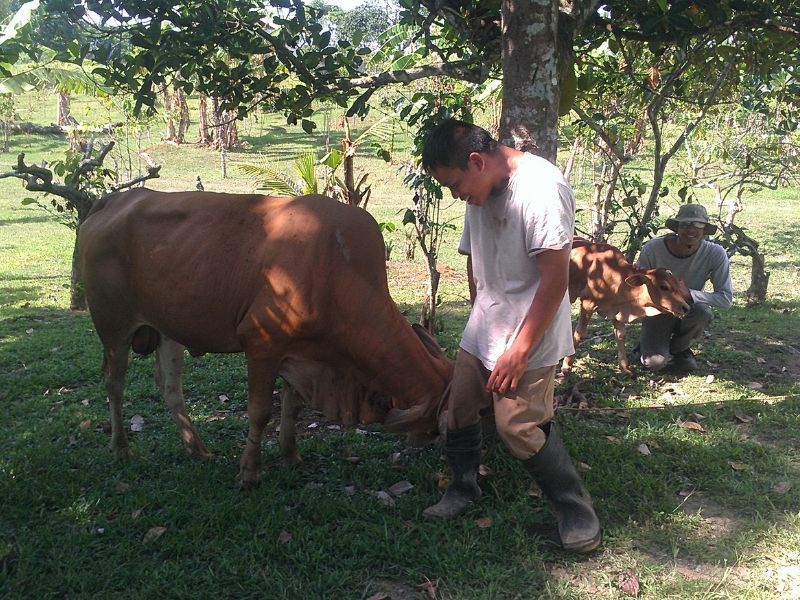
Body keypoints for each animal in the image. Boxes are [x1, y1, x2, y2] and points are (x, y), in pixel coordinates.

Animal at [78, 189, 453, 488]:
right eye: (444, 425)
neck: (338, 271)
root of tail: (110, 201)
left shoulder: (301, 353)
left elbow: (292, 408)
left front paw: (291, 455)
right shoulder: (262, 345)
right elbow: (259, 413)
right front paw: (249, 472)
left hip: (169, 329)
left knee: (170, 389)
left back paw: (197, 449)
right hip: (113, 327)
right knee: (114, 384)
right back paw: (121, 448)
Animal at [563, 237, 691, 374]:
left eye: (677, 284)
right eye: (664, 287)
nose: (686, 307)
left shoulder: (617, 310)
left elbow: (620, 335)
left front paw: (625, 368)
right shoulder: (587, 304)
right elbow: (580, 333)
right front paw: (567, 364)